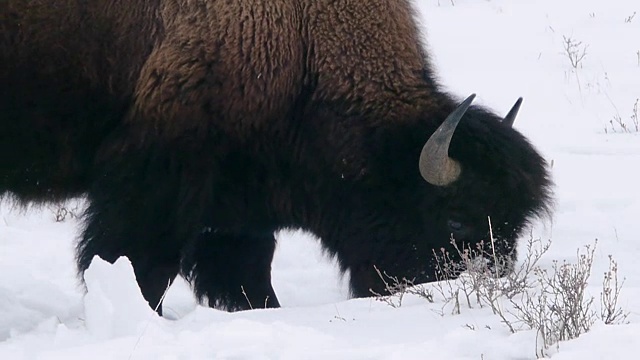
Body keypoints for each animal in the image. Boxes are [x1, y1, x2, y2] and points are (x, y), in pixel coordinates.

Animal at [0, 0, 552, 316]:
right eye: (456, 220)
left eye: (514, 227)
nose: (486, 294)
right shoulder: (156, 187)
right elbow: (139, 265)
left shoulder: (239, 208)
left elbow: (247, 276)